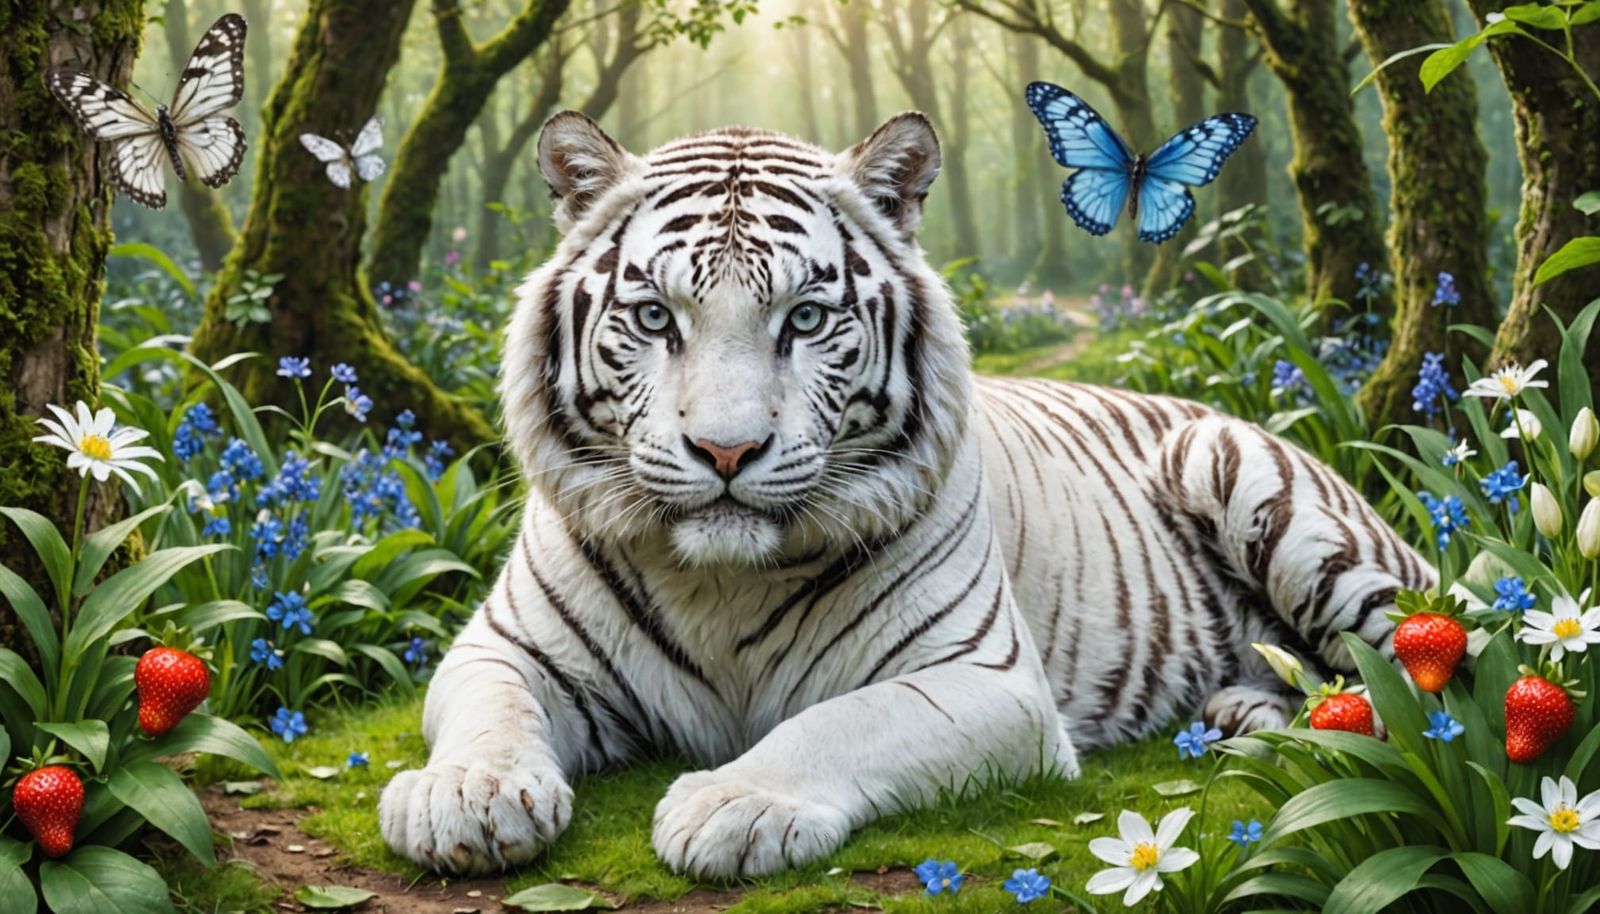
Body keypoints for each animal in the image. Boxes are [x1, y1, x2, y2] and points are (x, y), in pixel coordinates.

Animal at [378, 110, 1435, 879]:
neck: (719, 583)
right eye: (653, 317)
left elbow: (839, 724)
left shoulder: (986, 680)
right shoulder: (506, 647)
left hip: (1255, 486)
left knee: (1427, 666)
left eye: (805, 318)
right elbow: (490, 710)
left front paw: (733, 803)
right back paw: (1245, 714)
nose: (727, 450)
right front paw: (463, 796)